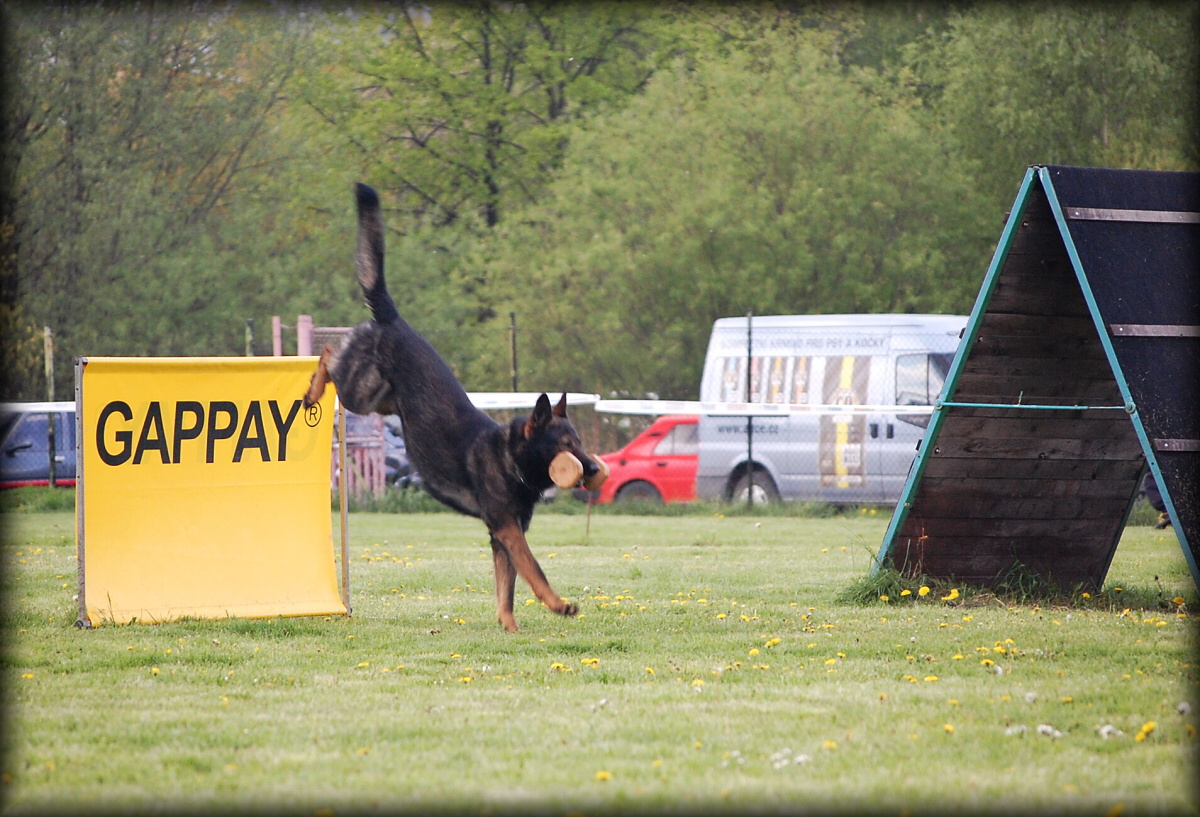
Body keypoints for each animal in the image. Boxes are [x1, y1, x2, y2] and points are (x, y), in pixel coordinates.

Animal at [304, 183, 604, 628]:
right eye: (566, 446)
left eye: (580, 442)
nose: (595, 470)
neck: (511, 460)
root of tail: (393, 319)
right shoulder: (509, 530)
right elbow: (534, 570)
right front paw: (558, 604)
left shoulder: (501, 536)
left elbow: (506, 590)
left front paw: (509, 628)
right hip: (359, 392)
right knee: (326, 354)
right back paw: (311, 389)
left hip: (381, 403)